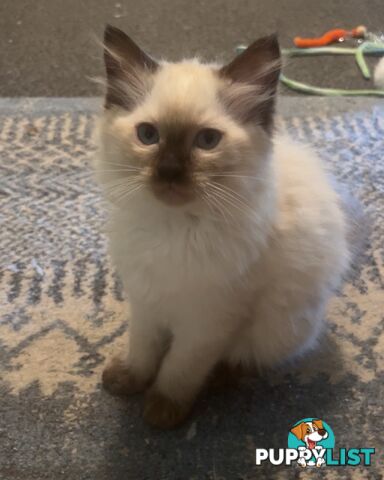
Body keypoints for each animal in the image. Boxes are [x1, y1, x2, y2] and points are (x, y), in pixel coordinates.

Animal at [96, 25, 352, 428]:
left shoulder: (208, 321)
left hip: (278, 327)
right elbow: (143, 351)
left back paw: (222, 379)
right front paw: (128, 379)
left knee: (249, 359)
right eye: (148, 135)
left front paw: (162, 412)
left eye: (207, 140)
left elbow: (178, 368)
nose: (169, 171)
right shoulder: (145, 301)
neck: (174, 229)